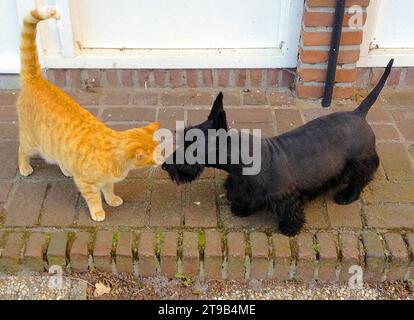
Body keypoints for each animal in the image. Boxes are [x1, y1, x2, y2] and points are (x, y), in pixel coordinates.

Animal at [16, 8, 158, 222]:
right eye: (155, 155)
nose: (162, 161)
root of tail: (36, 79)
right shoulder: (85, 183)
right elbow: (94, 198)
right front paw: (98, 212)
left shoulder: (106, 181)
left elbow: (108, 189)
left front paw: (112, 199)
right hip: (33, 142)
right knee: (21, 150)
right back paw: (24, 167)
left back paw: (66, 169)